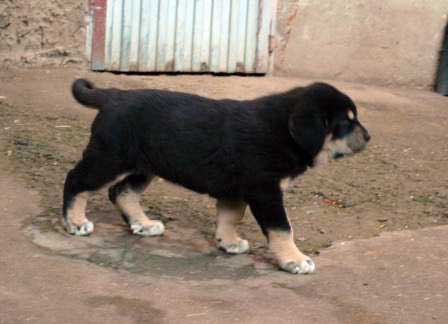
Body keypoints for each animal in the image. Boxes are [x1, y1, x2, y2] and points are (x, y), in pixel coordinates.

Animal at [63, 79, 372, 274]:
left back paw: (143, 224)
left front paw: (229, 242)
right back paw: (75, 222)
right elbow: (282, 229)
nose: (369, 137)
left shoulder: (236, 190)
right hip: (110, 157)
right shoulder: (266, 190)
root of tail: (113, 95)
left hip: (144, 165)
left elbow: (230, 216)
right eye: (347, 122)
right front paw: (294, 260)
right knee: (76, 181)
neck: (284, 131)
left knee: (121, 192)